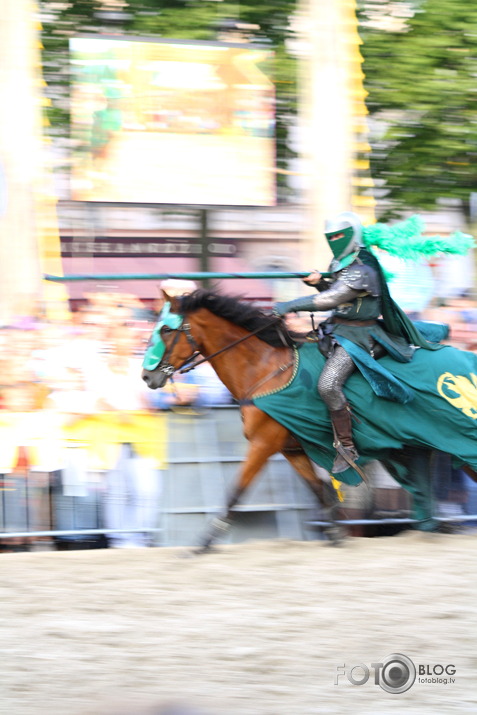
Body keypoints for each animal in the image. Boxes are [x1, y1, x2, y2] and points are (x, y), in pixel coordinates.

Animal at [140, 288, 338, 552]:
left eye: (166, 330)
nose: (146, 376)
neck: (264, 369)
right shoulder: (291, 449)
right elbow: (317, 488)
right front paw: (334, 533)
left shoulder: (263, 443)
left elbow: (236, 491)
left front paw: (205, 542)